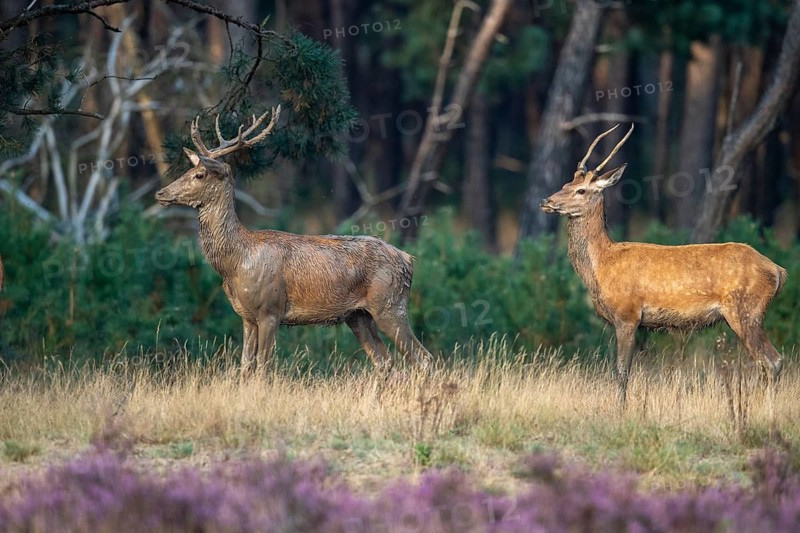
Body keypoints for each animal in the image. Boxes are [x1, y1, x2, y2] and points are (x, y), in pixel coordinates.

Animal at [155, 107, 433, 375]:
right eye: (188, 170)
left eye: (200, 174)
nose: (161, 193)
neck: (235, 262)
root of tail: (408, 260)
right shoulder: (246, 316)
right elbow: (244, 367)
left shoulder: (270, 309)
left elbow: (263, 366)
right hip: (358, 315)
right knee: (384, 361)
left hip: (390, 304)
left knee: (422, 357)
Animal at [540, 124, 787, 406]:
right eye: (566, 183)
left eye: (581, 190)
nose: (546, 201)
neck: (601, 266)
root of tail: (778, 271)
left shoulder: (627, 314)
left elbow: (622, 371)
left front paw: (621, 408)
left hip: (747, 310)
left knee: (772, 360)